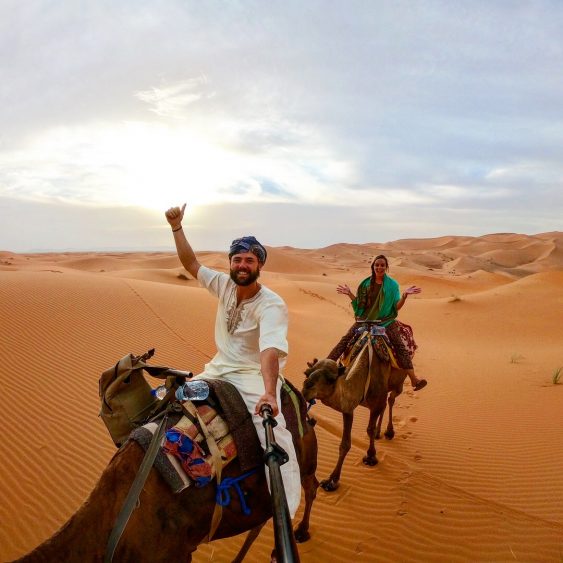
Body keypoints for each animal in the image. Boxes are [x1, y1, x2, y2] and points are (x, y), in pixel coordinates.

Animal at [302, 340, 408, 494]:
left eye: (330, 379)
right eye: (306, 373)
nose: (306, 388)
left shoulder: (375, 403)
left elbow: (369, 429)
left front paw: (371, 457)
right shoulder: (348, 409)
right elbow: (345, 444)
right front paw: (331, 481)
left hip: (399, 383)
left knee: (391, 399)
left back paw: (389, 432)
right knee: (386, 402)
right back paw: (379, 433)